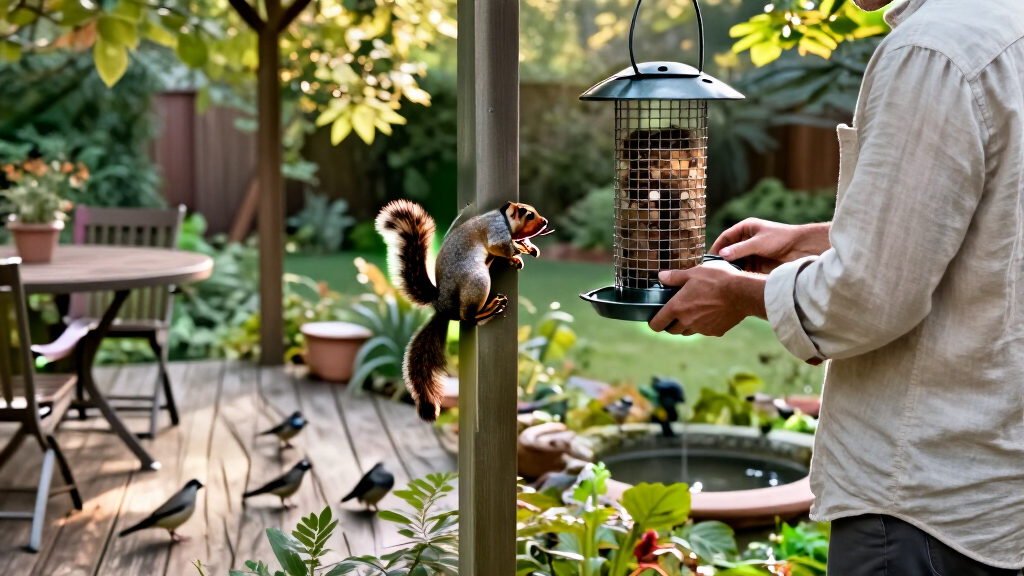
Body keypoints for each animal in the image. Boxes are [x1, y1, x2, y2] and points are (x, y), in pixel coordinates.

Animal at [375, 199, 552, 421]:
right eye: (528, 214)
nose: (545, 222)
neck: (503, 217)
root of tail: (442, 307)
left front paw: (527, 247)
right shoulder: (497, 232)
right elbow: (501, 247)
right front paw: (520, 250)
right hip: (478, 281)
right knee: (468, 318)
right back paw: (489, 309)